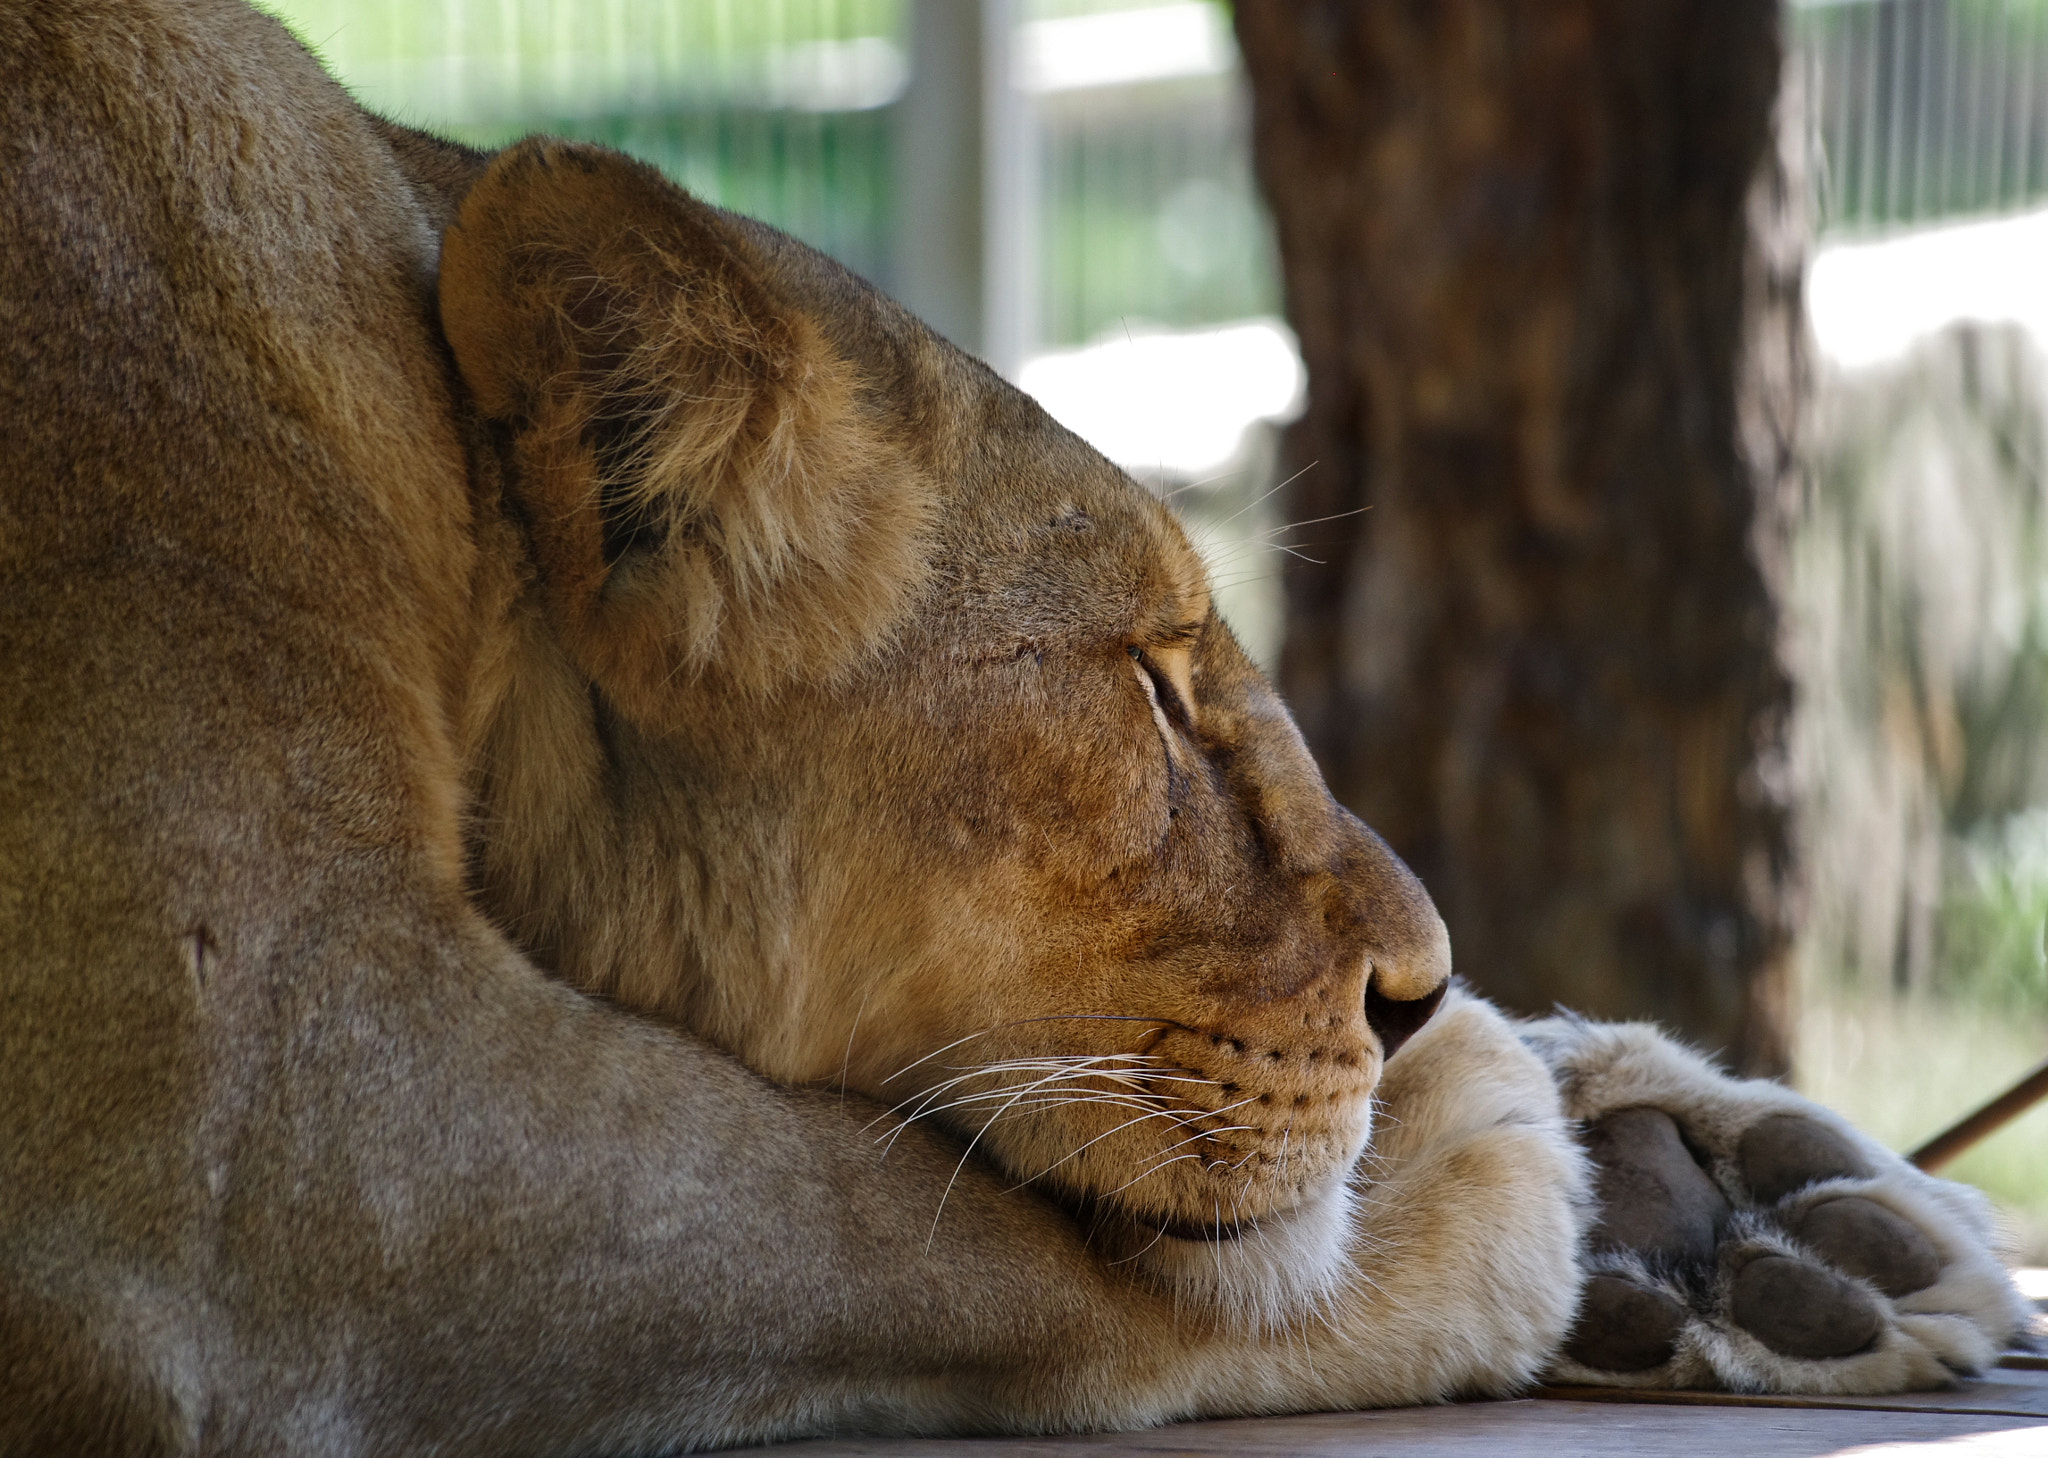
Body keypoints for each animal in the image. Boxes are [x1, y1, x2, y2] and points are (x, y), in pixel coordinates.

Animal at [0, 2, 2015, 1458]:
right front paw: (1496, 1169)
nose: (1416, 990)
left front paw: (1728, 1203)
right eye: (1151, 684)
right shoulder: (273, 1142)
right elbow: (914, 1224)